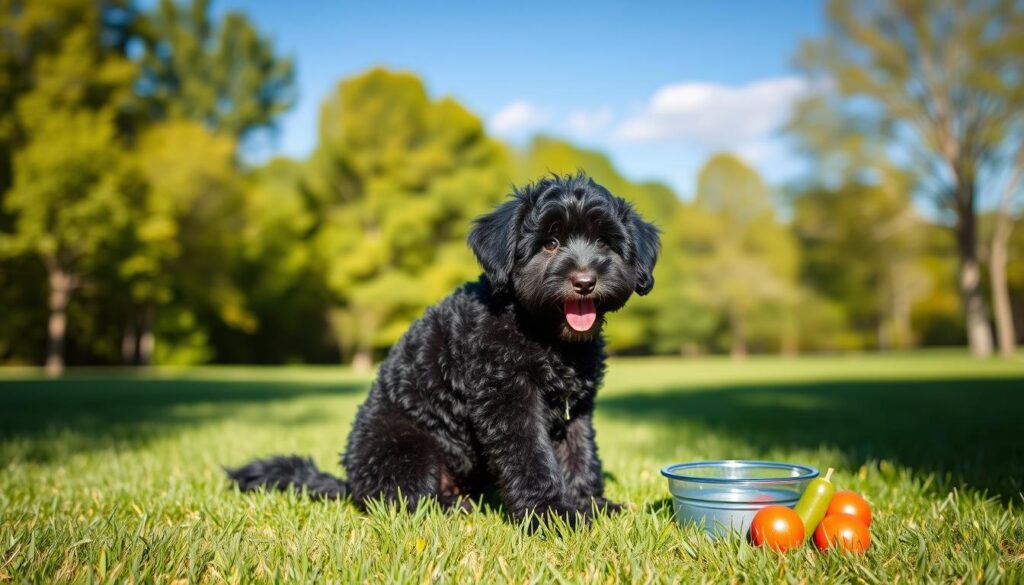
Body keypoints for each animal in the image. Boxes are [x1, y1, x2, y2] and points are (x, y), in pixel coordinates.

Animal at [228, 173, 659, 524]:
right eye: (550, 243)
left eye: (603, 242)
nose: (585, 281)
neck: (541, 332)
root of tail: (350, 481)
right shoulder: (508, 400)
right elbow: (532, 458)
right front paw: (552, 515)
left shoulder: (576, 407)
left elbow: (579, 457)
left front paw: (590, 505)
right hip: (408, 447)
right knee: (403, 499)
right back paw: (454, 507)